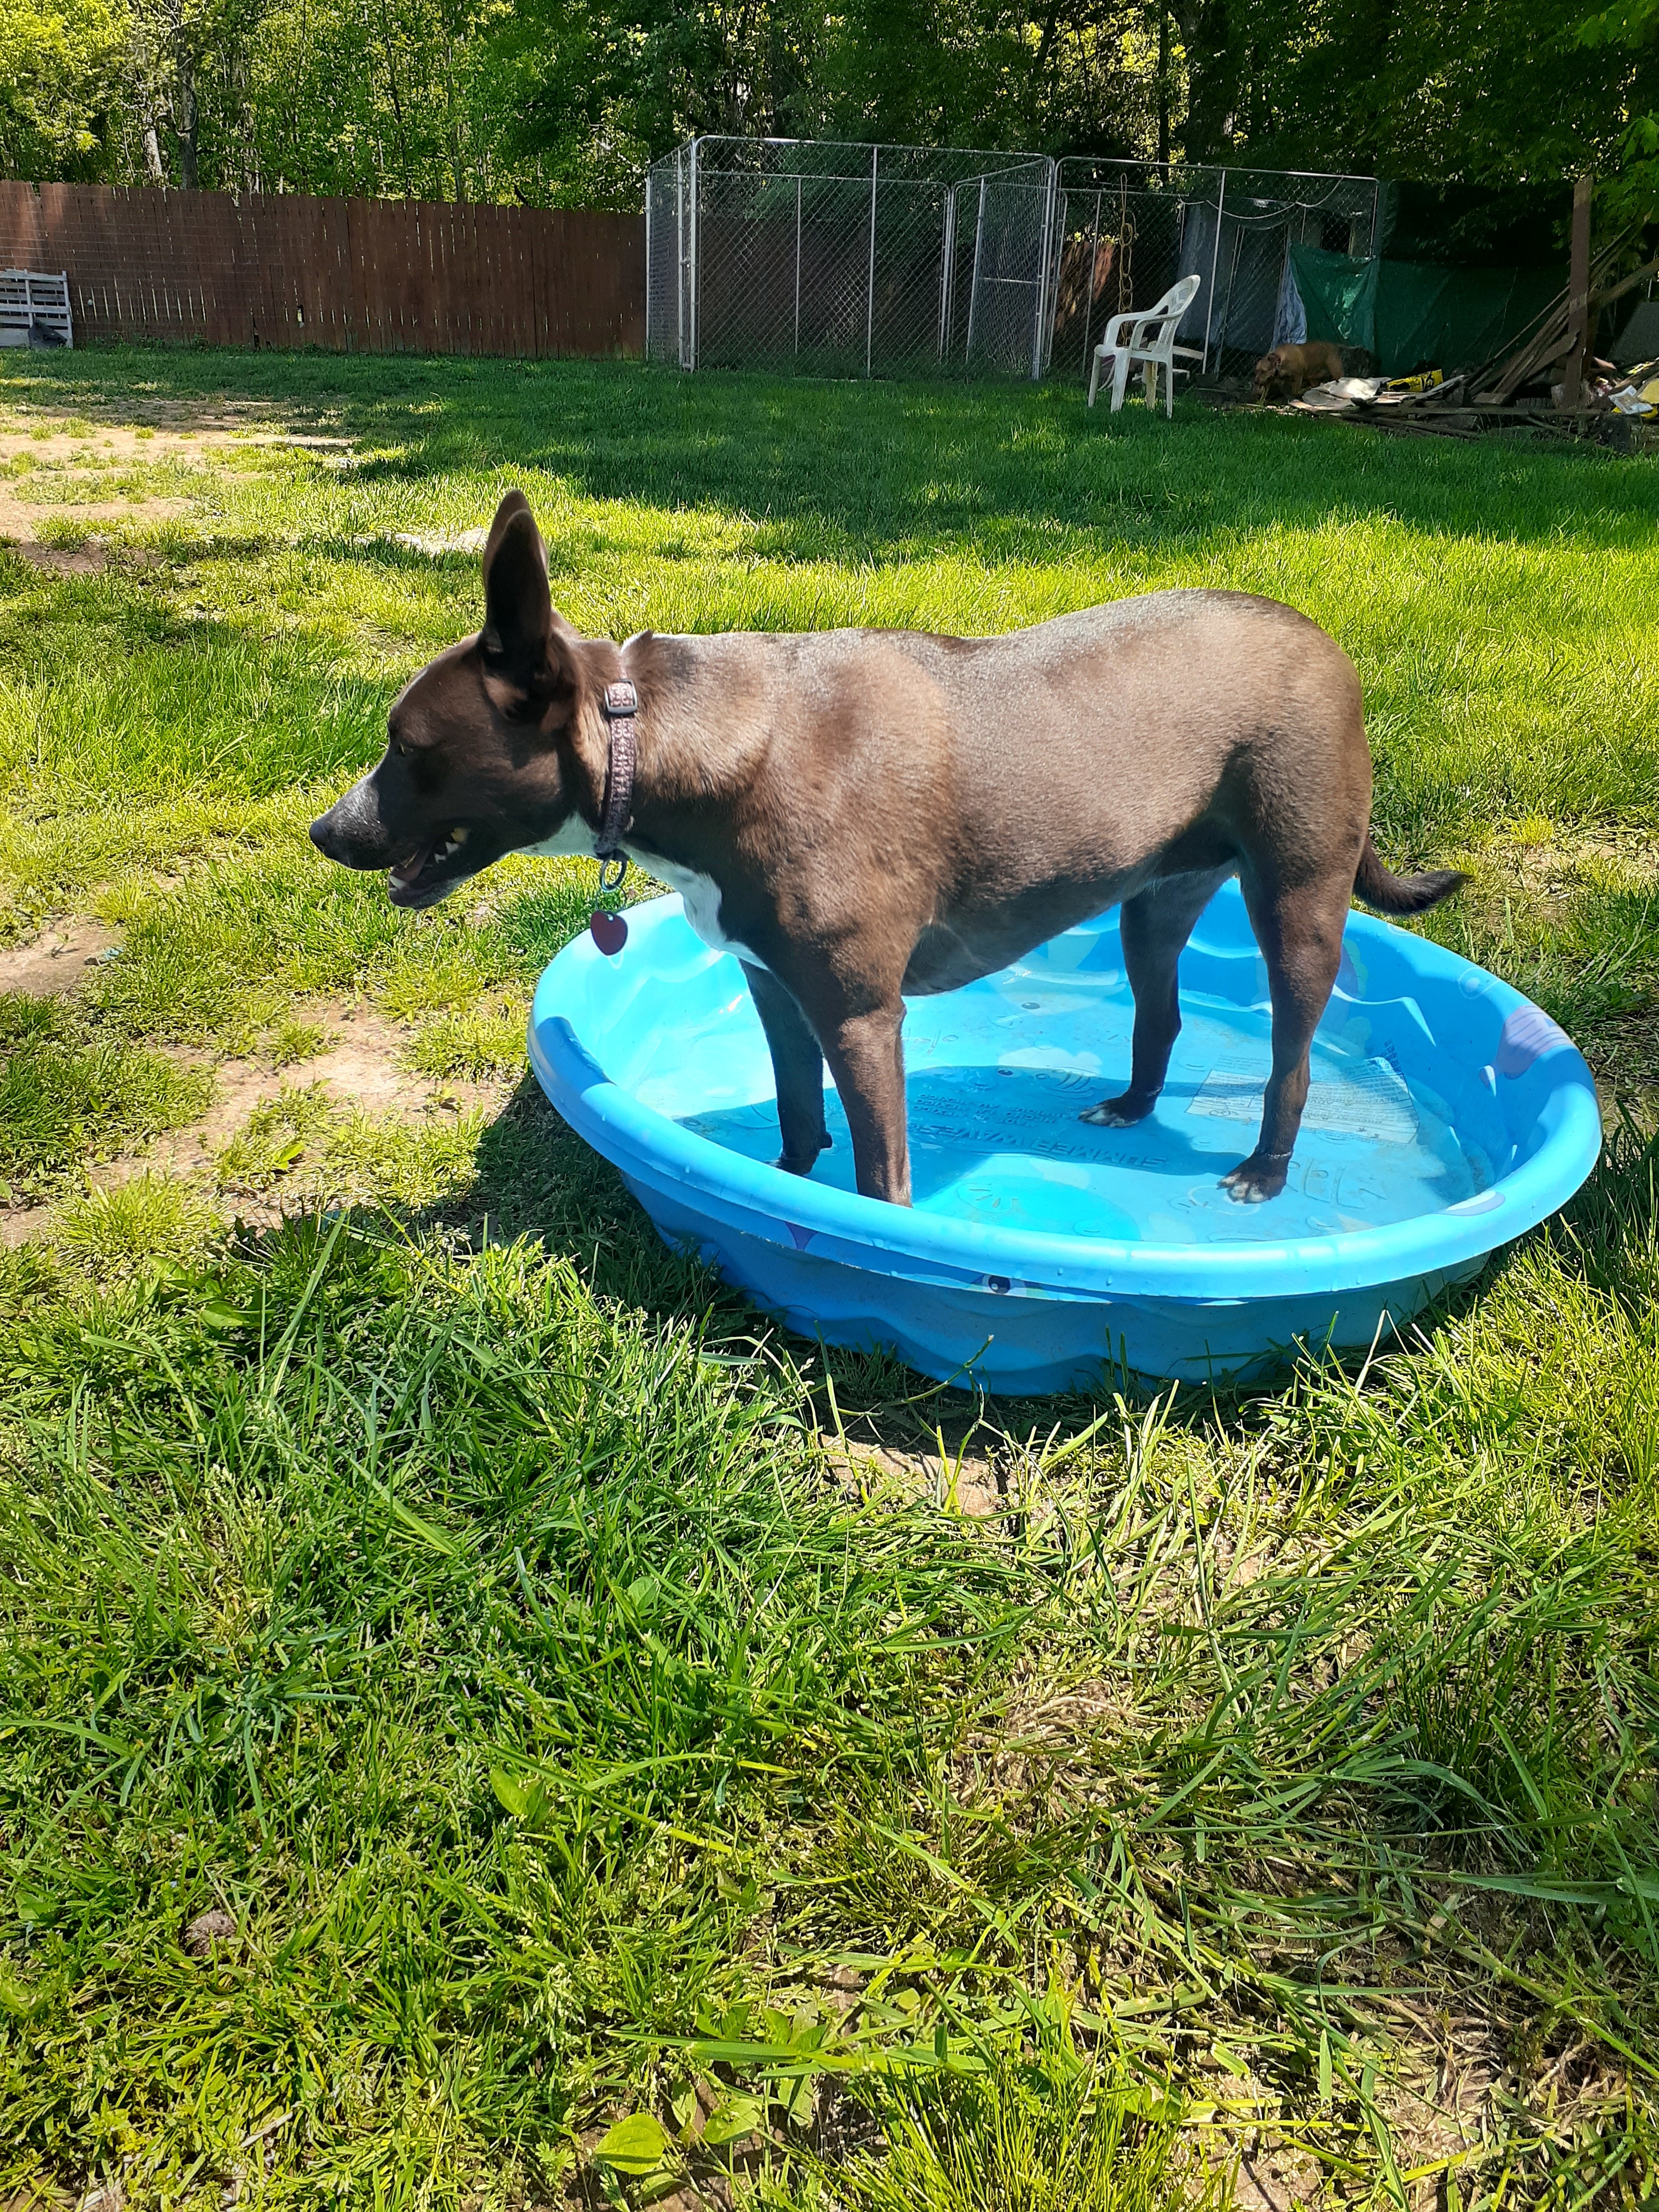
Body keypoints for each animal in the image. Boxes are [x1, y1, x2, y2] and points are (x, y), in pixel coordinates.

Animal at [312, 497, 1468, 1212]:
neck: (677, 740)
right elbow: (792, 1111)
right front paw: (785, 1178)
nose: (325, 831)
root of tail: (1324, 639)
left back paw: (1265, 1171)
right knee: (1163, 1014)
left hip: (1299, 902)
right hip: (1156, 897)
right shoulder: (777, 990)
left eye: (406, 748)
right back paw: (1133, 1106)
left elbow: (878, 1176)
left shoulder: (864, 1019)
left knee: (1292, 1061)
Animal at [1256, 338, 1354, 405]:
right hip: (1314, 379)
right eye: (1256, 371)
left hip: (1337, 373)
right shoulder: (1270, 379)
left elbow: (1296, 391)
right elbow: (1265, 393)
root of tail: (1337, 346)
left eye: (1264, 371)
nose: (1256, 382)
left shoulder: (1298, 376)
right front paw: (1261, 402)